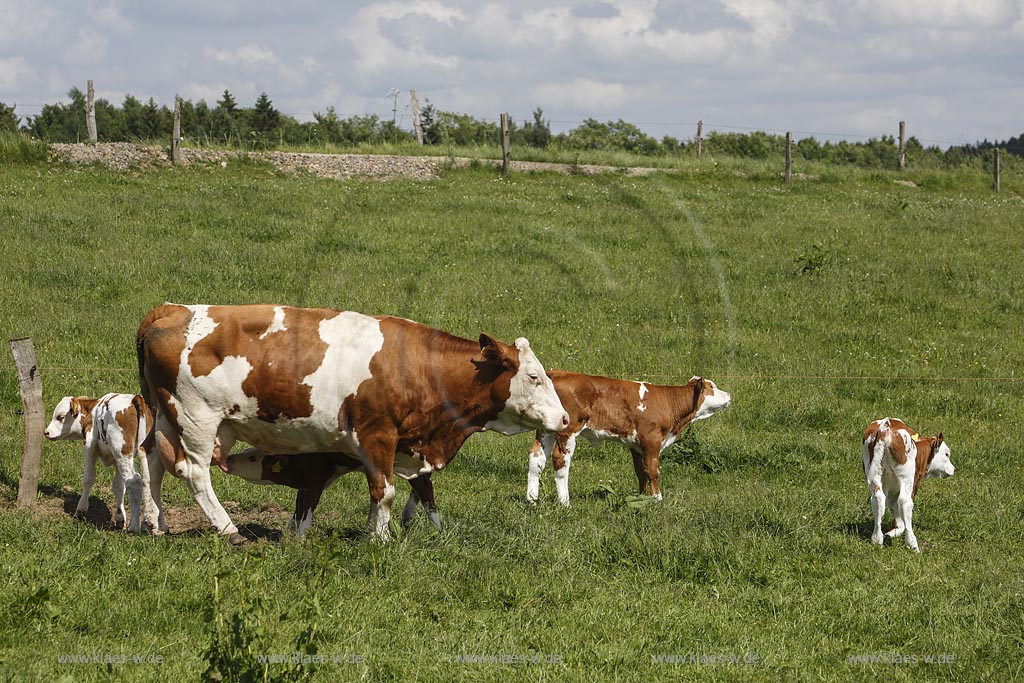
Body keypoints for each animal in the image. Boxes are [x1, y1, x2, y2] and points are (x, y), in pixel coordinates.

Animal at [44, 393, 153, 532]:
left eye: (60, 417)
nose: (46, 432)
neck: (92, 412)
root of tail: (135, 398)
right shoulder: (117, 460)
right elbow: (118, 486)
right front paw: (120, 517)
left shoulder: (89, 449)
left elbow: (88, 479)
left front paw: (81, 509)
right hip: (142, 454)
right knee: (148, 481)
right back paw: (151, 522)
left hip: (123, 453)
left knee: (134, 481)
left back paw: (134, 526)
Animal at [135, 301, 569, 540]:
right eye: (534, 376)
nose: (565, 418)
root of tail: (172, 309)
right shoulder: (376, 433)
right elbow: (385, 490)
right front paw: (380, 540)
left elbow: (403, 492)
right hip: (195, 417)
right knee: (194, 473)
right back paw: (228, 530)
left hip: (163, 415)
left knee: (151, 460)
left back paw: (156, 523)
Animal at [524, 370, 733, 505]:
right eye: (712, 386)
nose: (729, 394)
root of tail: (556, 373)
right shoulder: (651, 439)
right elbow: (653, 470)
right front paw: (657, 498)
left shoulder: (636, 444)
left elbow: (641, 471)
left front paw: (643, 496)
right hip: (568, 431)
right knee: (561, 460)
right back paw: (565, 502)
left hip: (547, 430)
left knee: (536, 458)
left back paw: (532, 500)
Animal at [860, 419, 954, 552]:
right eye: (946, 454)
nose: (953, 469)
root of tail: (885, 426)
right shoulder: (914, 481)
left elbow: (893, 505)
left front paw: (893, 531)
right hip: (906, 475)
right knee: (905, 501)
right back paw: (913, 544)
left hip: (874, 473)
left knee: (878, 498)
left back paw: (877, 540)